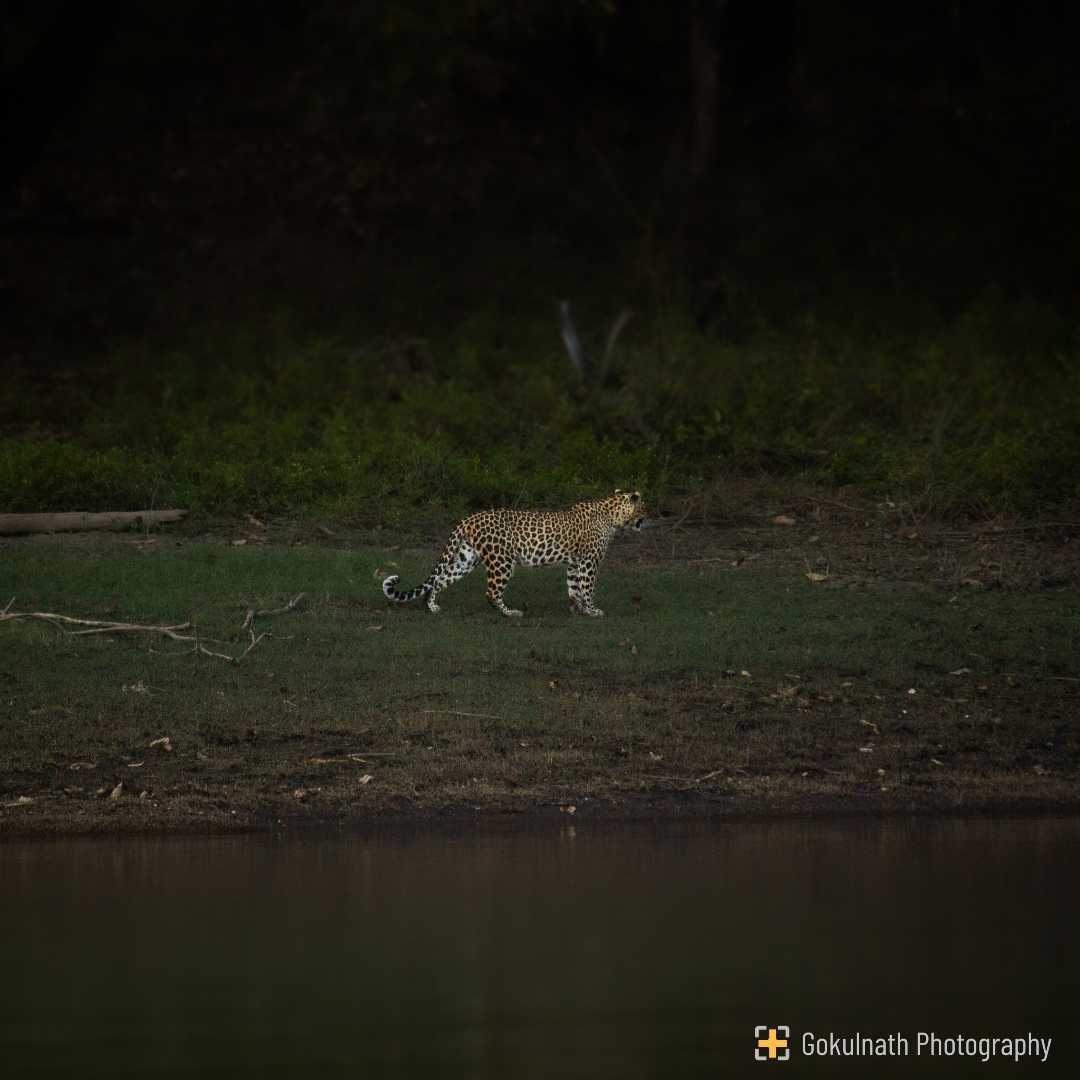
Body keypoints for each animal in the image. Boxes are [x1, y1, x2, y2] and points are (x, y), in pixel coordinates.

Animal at [382, 489, 646, 618]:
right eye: (644, 506)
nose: (648, 517)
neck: (614, 516)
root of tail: (469, 518)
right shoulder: (589, 561)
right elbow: (587, 587)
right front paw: (592, 611)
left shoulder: (575, 563)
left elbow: (574, 588)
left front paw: (578, 610)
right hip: (501, 561)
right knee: (491, 592)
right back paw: (510, 613)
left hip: (466, 559)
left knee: (439, 580)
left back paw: (433, 607)